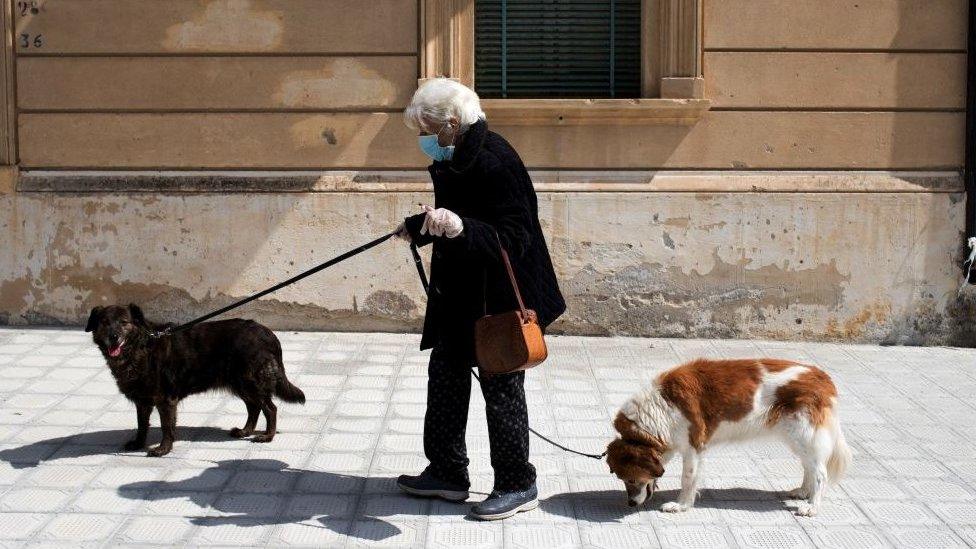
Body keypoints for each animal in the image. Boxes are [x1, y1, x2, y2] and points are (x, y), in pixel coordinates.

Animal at [86, 304, 304, 454]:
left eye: (124, 322)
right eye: (104, 323)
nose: (113, 337)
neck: (141, 347)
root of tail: (268, 333)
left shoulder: (166, 400)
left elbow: (166, 427)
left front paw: (163, 449)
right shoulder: (143, 402)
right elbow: (141, 426)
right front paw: (139, 444)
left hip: (251, 382)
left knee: (270, 409)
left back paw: (267, 436)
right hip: (241, 384)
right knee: (254, 408)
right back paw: (245, 430)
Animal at [608, 358, 852, 516]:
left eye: (631, 480)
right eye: (622, 479)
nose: (630, 504)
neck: (659, 409)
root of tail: (822, 377)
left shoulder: (693, 447)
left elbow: (687, 479)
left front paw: (681, 506)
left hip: (804, 434)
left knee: (820, 473)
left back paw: (812, 506)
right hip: (796, 438)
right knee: (809, 467)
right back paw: (802, 492)